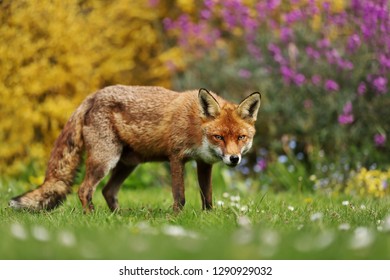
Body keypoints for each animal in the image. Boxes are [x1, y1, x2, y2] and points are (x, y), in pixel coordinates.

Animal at [9, 85, 260, 212]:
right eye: (219, 137)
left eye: (241, 137)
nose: (234, 159)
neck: (195, 125)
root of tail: (92, 95)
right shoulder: (176, 157)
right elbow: (180, 196)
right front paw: (176, 220)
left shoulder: (204, 163)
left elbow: (207, 196)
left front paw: (208, 218)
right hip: (105, 160)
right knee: (84, 190)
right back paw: (91, 218)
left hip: (128, 164)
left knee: (107, 191)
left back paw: (117, 219)